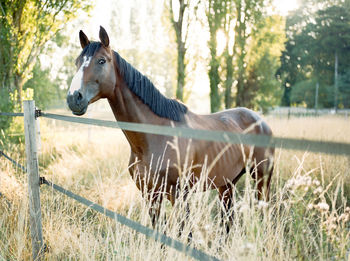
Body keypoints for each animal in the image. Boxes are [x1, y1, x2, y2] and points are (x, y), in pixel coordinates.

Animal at [65, 25, 274, 230]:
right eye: (77, 62)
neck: (155, 136)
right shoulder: (150, 195)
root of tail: (260, 120)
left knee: (264, 214)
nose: (74, 97)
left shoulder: (179, 194)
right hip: (227, 183)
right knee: (227, 221)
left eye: (101, 61)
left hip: (262, 179)